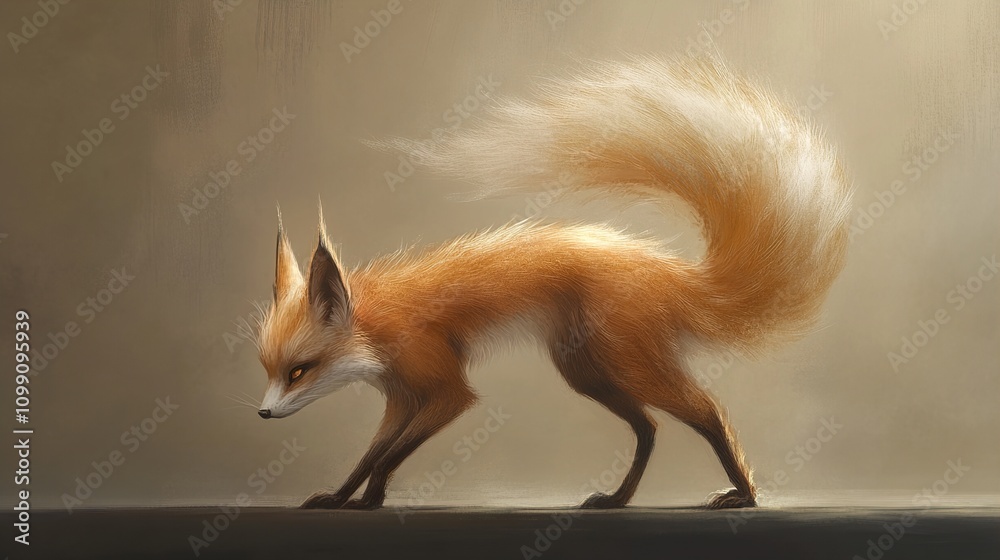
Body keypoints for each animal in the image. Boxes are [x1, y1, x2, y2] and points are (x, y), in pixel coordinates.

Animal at [254, 56, 852, 511]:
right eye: (270, 370)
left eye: (299, 370)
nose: (261, 414)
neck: (379, 323)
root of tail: (666, 267)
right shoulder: (401, 396)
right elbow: (370, 456)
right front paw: (344, 498)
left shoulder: (445, 390)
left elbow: (391, 454)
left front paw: (370, 500)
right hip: (587, 369)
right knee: (650, 428)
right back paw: (618, 500)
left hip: (626, 365)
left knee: (706, 412)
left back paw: (746, 494)